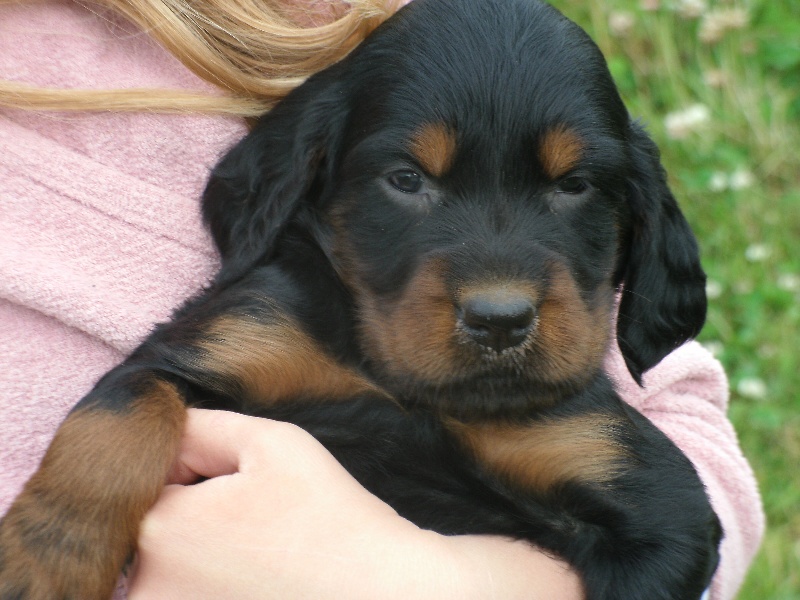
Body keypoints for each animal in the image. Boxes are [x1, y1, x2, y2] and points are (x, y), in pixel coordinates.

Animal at [0, 0, 720, 596]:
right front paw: (46, 561)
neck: (396, 383)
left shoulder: (654, 504)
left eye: (575, 185)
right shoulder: (220, 343)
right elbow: (117, 421)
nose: (499, 322)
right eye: (406, 179)